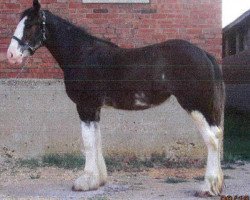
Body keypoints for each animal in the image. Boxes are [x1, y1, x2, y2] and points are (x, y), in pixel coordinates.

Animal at [6, 0, 226, 197]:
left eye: (31, 25)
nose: (11, 56)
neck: (82, 54)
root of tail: (204, 54)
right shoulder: (94, 108)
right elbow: (96, 140)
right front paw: (98, 180)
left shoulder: (85, 106)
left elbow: (88, 143)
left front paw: (84, 182)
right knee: (217, 135)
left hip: (196, 105)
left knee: (212, 139)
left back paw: (207, 188)